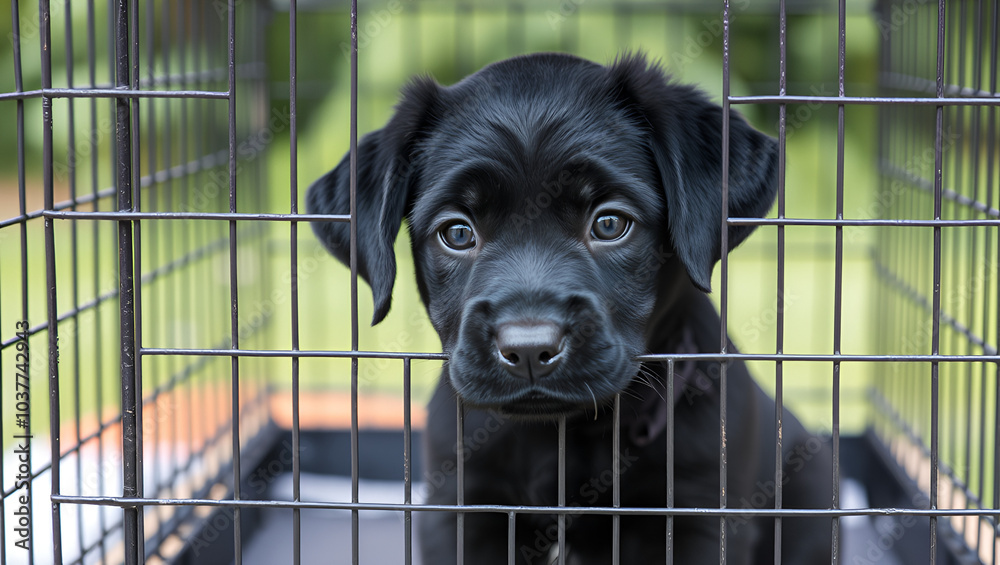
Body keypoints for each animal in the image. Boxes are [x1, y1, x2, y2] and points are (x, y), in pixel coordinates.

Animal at [306, 53, 836, 564]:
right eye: (456, 233)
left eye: (609, 224)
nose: (528, 350)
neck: (561, 437)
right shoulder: (462, 511)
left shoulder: (698, 517)